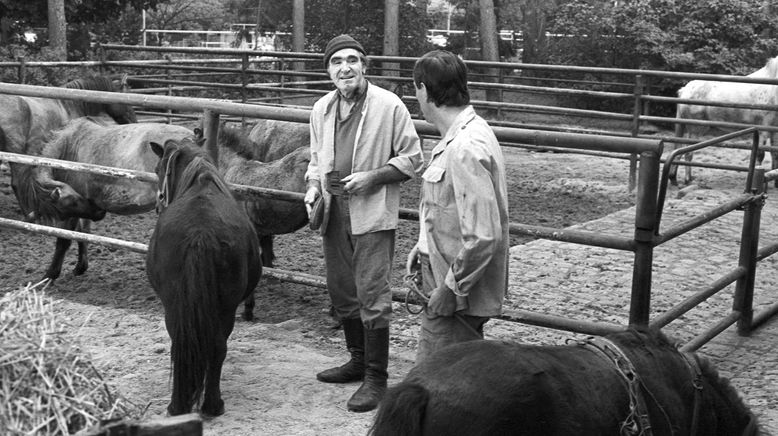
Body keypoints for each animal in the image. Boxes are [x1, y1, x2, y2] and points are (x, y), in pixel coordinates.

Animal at [29, 116, 194, 280]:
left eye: (72, 202)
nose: (99, 212)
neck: (69, 146)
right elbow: (83, 234)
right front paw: (80, 267)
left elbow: (63, 240)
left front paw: (50, 275)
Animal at [147, 138, 262, 418]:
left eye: (157, 169)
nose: (157, 204)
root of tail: (200, 233)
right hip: (220, 307)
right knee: (213, 346)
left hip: (180, 305)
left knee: (192, 345)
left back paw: (193, 405)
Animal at [668, 55, 776, 185]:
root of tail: (685, 90)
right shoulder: (763, 129)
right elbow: (760, 155)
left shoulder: (774, 130)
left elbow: (775, 153)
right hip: (696, 129)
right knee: (688, 153)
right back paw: (688, 180)